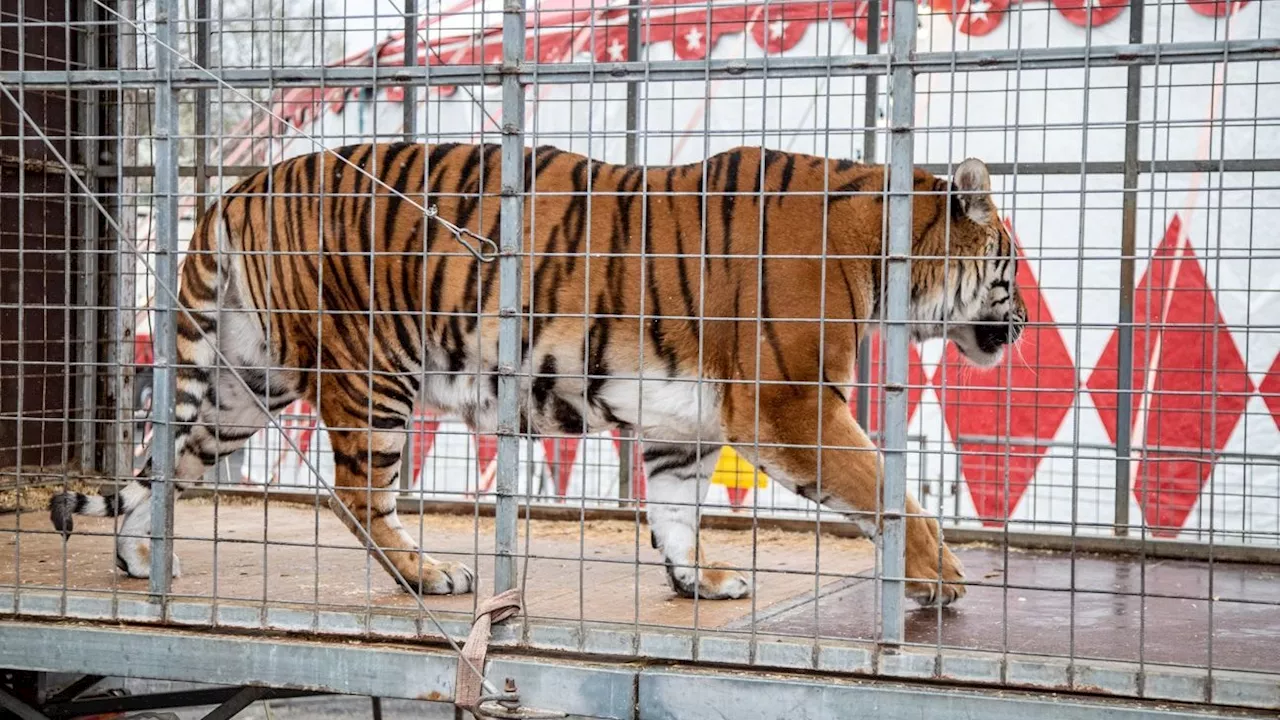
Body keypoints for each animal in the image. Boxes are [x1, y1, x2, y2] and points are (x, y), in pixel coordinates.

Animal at [52, 141, 1029, 604]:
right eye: (1013, 267)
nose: (1021, 328)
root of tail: (239, 184)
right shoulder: (792, 406)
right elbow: (887, 493)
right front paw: (941, 578)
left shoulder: (684, 424)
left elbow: (677, 514)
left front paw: (699, 582)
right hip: (371, 371)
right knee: (358, 497)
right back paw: (430, 576)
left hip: (242, 385)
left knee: (164, 461)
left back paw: (139, 558)